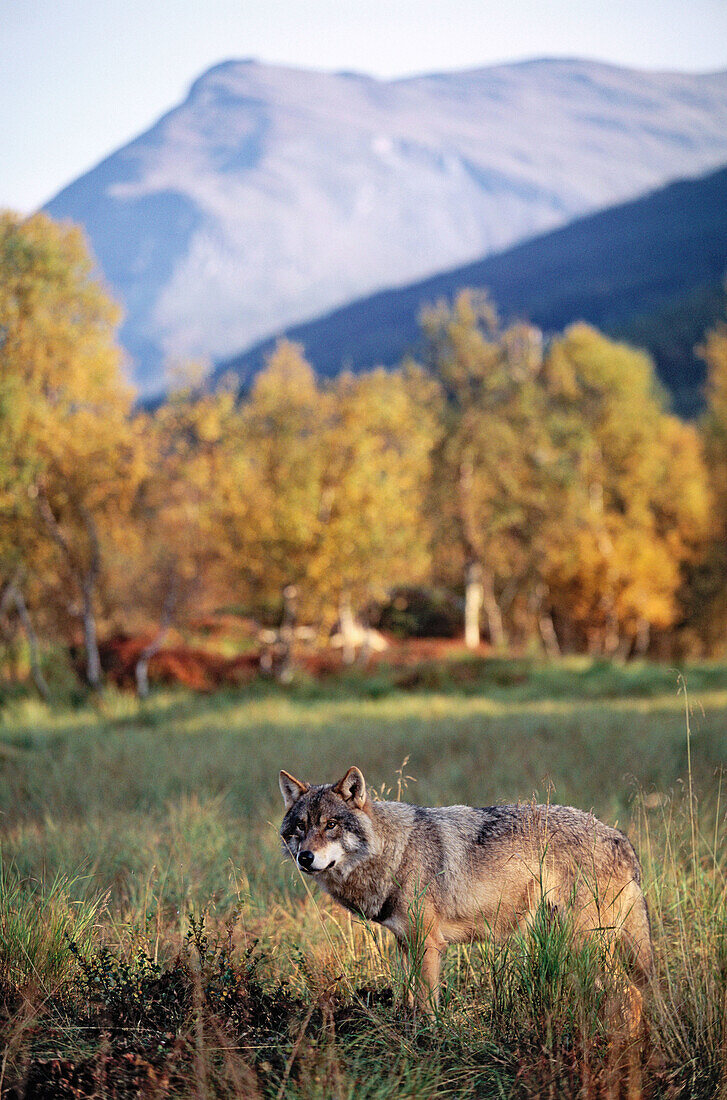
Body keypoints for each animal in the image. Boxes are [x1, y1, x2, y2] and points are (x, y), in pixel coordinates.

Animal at [278, 770, 651, 1016]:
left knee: (631, 995)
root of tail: (621, 839)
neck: (395, 852)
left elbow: (426, 1009)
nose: (304, 858)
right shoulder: (404, 943)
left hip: (583, 946)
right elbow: (407, 1002)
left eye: (330, 825)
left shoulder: (428, 945)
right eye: (300, 827)